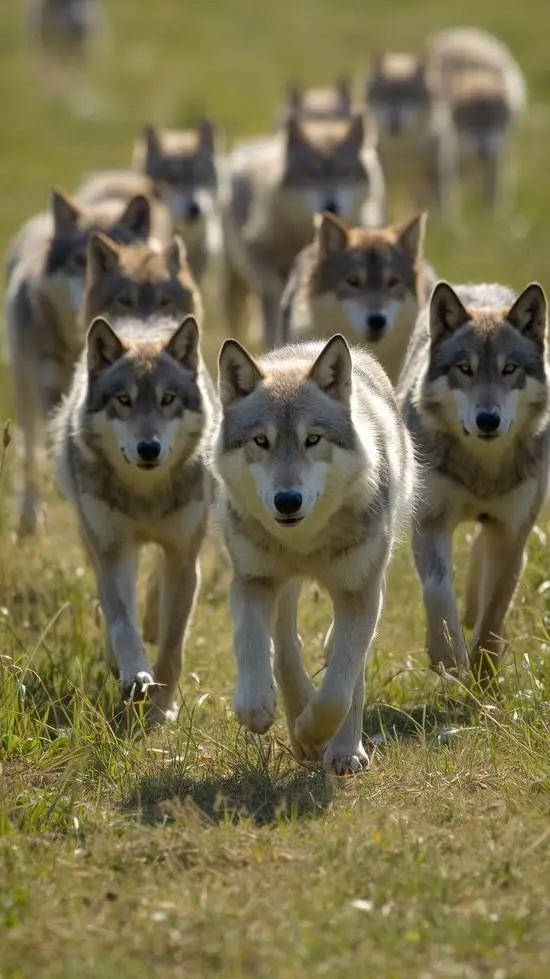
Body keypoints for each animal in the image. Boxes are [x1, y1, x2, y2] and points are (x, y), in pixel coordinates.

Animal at [49, 313, 216, 718]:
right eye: (124, 400)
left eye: (167, 399)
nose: (148, 448)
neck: (145, 494)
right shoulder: (113, 551)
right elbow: (123, 621)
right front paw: (136, 674)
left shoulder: (184, 557)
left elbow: (173, 647)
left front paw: (161, 710)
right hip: (93, 539)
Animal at [212, 333, 415, 773]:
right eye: (261, 441)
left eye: (313, 439)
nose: (288, 501)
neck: (305, 542)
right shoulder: (252, 580)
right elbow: (253, 644)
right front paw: (260, 709)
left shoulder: (360, 592)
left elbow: (339, 689)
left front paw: (318, 734)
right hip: (284, 588)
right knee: (288, 648)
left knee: (344, 661)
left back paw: (341, 748)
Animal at [220, 113, 386, 350]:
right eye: (311, 174)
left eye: (344, 171)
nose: (330, 206)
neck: (307, 233)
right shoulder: (261, 260)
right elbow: (275, 295)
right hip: (235, 278)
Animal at [398, 280, 550, 685]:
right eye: (464, 369)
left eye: (509, 369)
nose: (487, 420)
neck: (482, 471)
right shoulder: (430, 522)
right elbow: (437, 593)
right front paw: (448, 659)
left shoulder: (511, 533)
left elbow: (494, 615)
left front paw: (484, 682)